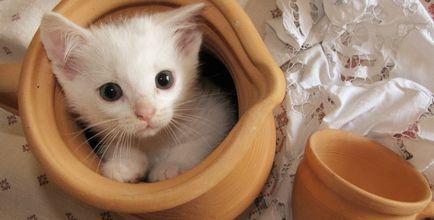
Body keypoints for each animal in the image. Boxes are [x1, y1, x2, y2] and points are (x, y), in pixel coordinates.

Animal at [40, 3, 236, 182]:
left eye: (164, 79)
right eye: (110, 92)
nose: (146, 112)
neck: (154, 142)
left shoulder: (217, 113)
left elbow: (201, 142)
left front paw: (171, 166)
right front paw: (125, 163)